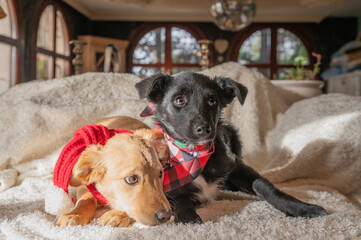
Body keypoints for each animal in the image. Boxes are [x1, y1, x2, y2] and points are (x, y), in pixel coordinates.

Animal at [134, 71, 326, 223]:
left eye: (212, 100)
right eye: (179, 100)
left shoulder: (236, 165)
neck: (194, 153)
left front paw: (301, 207)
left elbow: (263, 185)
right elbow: (179, 198)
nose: (204, 129)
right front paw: (189, 218)